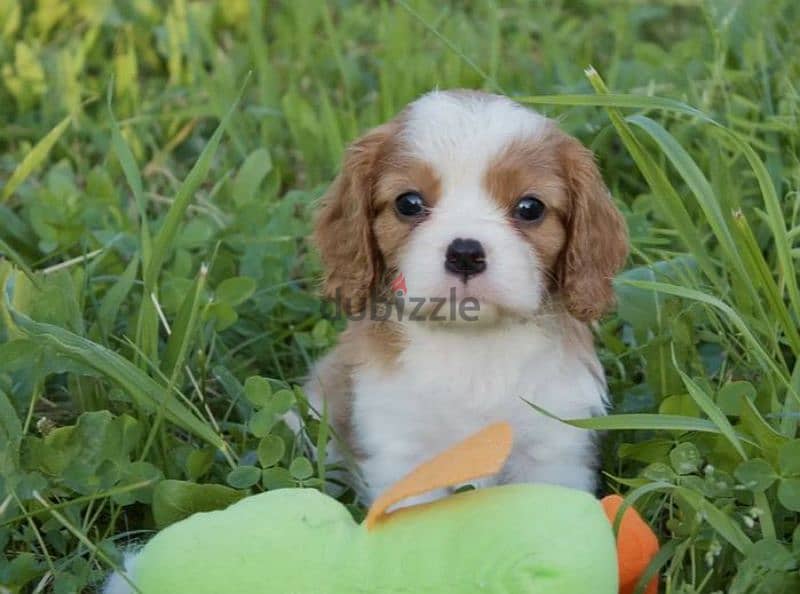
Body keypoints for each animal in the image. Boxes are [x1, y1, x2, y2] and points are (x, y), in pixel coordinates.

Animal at [304, 90, 628, 502]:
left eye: (530, 208)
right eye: (408, 203)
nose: (465, 253)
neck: (474, 344)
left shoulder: (553, 448)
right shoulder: (402, 452)